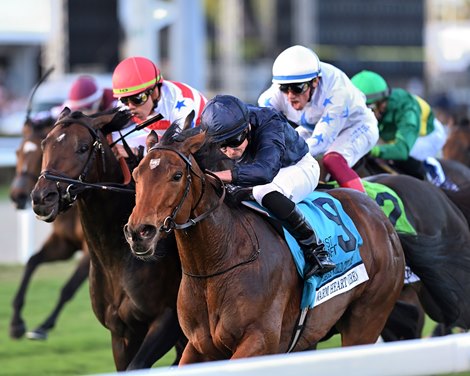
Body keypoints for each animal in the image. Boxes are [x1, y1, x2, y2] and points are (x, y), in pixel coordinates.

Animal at [8, 115, 90, 340]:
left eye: (38, 154)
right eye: (17, 152)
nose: (18, 195)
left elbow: (69, 288)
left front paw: (43, 326)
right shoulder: (64, 244)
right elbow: (32, 261)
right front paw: (16, 323)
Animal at [30, 108, 184, 370]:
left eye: (83, 148)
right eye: (45, 143)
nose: (42, 197)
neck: (117, 257)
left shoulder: (167, 320)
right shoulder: (121, 333)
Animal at [124, 121, 404, 364]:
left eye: (177, 175)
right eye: (136, 174)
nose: (139, 232)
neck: (216, 261)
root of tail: (376, 213)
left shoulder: (260, 341)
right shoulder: (199, 347)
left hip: (367, 319)